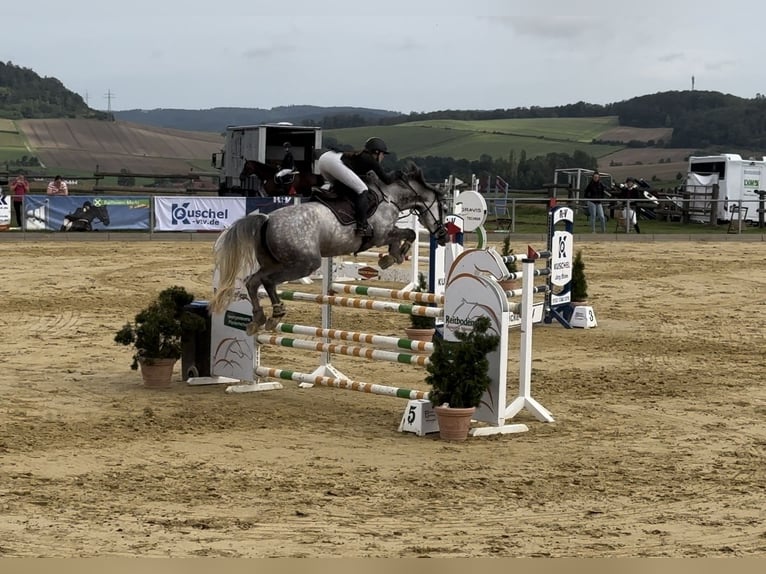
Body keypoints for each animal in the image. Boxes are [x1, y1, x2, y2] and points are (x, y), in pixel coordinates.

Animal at [210, 163, 449, 334]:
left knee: (253, 281)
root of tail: (267, 219)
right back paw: (275, 314)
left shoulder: (386, 233)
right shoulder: (381, 234)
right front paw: (393, 256)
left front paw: (391, 257)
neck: (390, 198)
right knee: (266, 281)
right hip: (304, 263)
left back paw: (260, 318)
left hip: (276, 262)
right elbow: (410, 233)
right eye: (444, 208)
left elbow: (404, 235)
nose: (444, 236)